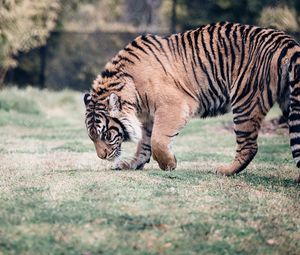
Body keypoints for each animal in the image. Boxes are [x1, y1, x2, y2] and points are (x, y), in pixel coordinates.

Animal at [82, 21, 300, 181]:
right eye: (91, 137)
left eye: (106, 135)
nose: (101, 157)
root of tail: (285, 40)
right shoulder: (149, 117)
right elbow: (144, 144)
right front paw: (131, 164)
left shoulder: (174, 106)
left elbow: (157, 140)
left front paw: (169, 164)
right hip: (289, 102)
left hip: (245, 101)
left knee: (249, 146)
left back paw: (225, 170)